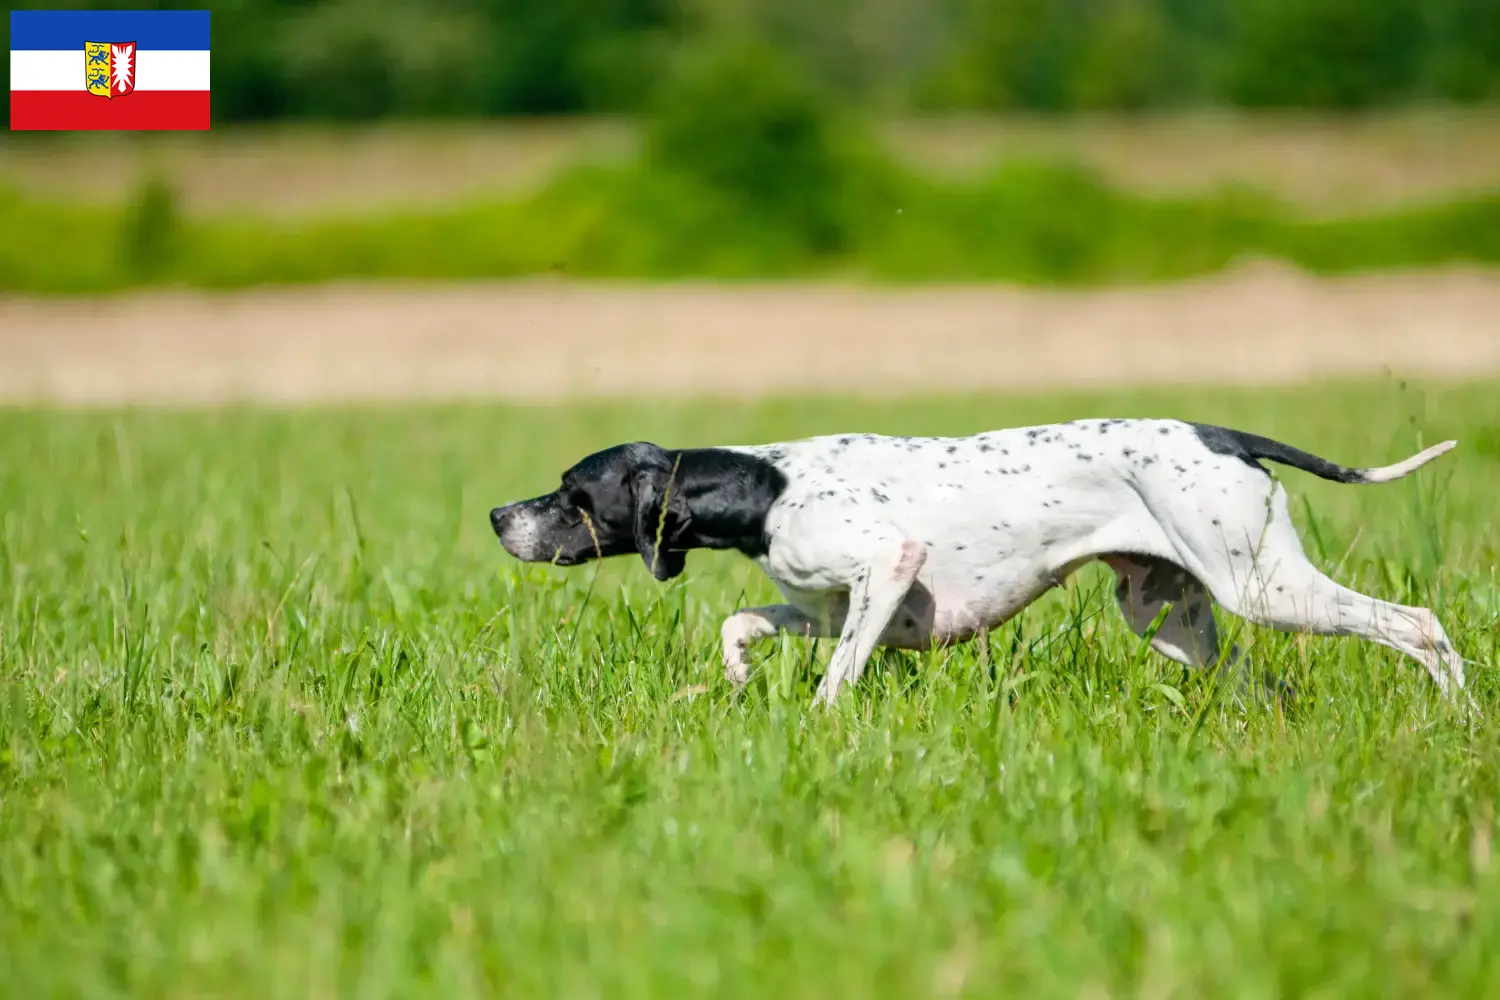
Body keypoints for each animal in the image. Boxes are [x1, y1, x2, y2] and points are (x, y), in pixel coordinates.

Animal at [489, 419, 1464, 707]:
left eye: (572, 493)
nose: (499, 514)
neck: (767, 486)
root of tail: (1222, 434)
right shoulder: (824, 604)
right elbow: (745, 622)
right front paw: (733, 673)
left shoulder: (887, 568)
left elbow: (837, 678)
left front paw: (817, 726)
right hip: (1174, 620)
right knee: (1270, 686)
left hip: (1264, 586)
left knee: (1419, 626)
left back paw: (1456, 713)